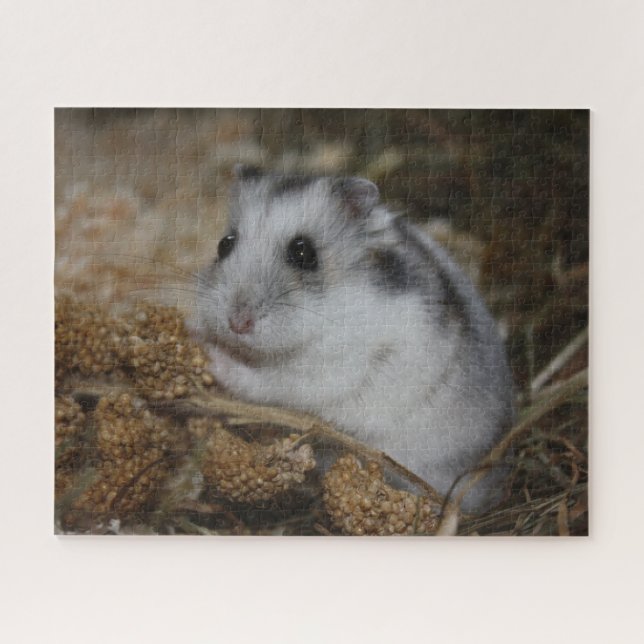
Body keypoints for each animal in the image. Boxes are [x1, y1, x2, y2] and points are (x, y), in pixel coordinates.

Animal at [193, 166, 514, 512]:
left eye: (303, 252)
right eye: (224, 244)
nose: (237, 323)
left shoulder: (329, 372)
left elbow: (263, 382)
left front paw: (211, 354)